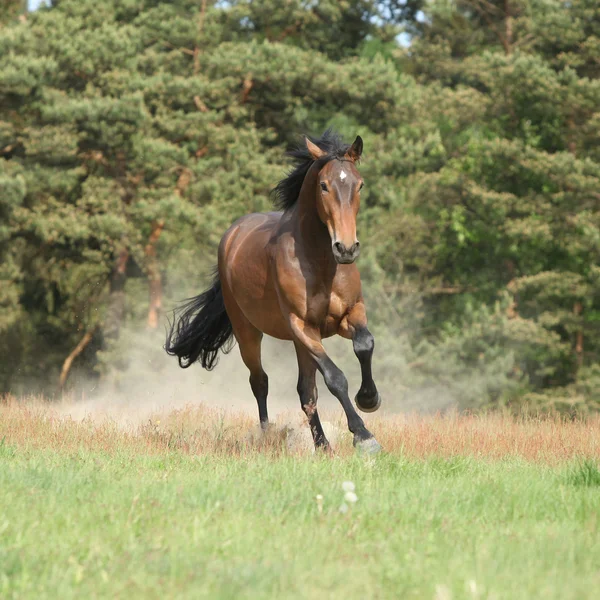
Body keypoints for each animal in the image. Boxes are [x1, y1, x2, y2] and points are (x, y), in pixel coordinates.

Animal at [165, 130, 380, 450]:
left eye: (360, 184)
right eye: (324, 186)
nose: (346, 248)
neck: (320, 261)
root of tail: (233, 235)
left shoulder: (350, 313)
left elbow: (364, 344)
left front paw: (369, 399)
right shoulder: (302, 327)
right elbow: (335, 377)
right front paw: (364, 436)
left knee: (306, 392)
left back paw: (322, 445)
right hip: (249, 332)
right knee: (261, 382)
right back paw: (268, 435)